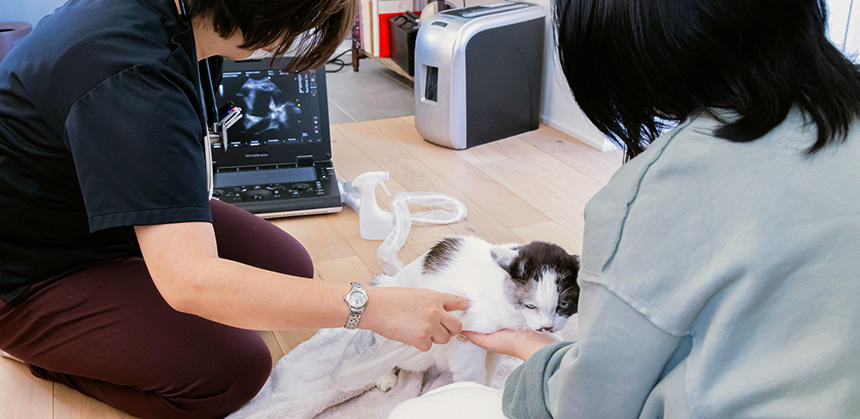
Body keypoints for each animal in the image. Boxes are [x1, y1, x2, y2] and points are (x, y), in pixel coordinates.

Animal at [332, 236, 580, 394]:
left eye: (563, 304)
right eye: (530, 306)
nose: (547, 328)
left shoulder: (495, 347)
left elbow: (490, 369)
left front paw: (488, 387)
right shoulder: (466, 343)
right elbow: (474, 374)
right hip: (409, 346)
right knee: (380, 348)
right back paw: (384, 376)